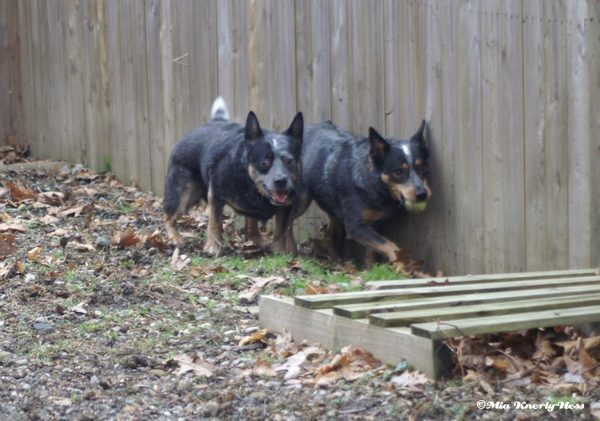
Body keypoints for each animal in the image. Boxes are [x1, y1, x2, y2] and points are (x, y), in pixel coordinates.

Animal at [163, 97, 303, 255]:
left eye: (289, 160)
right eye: (264, 162)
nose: (281, 181)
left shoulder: (286, 206)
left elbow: (281, 230)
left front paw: (279, 252)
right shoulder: (216, 195)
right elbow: (215, 221)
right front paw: (213, 247)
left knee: (251, 228)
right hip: (184, 196)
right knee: (168, 217)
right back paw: (175, 239)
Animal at [289, 120, 430, 262]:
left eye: (422, 168)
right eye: (399, 172)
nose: (422, 194)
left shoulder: (373, 223)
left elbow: (371, 253)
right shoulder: (355, 227)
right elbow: (389, 245)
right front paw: (402, 262)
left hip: (332, 206)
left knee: (327, 232)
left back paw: (335, 258)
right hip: (301, 201)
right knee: (288, 222)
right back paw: (289, 252)